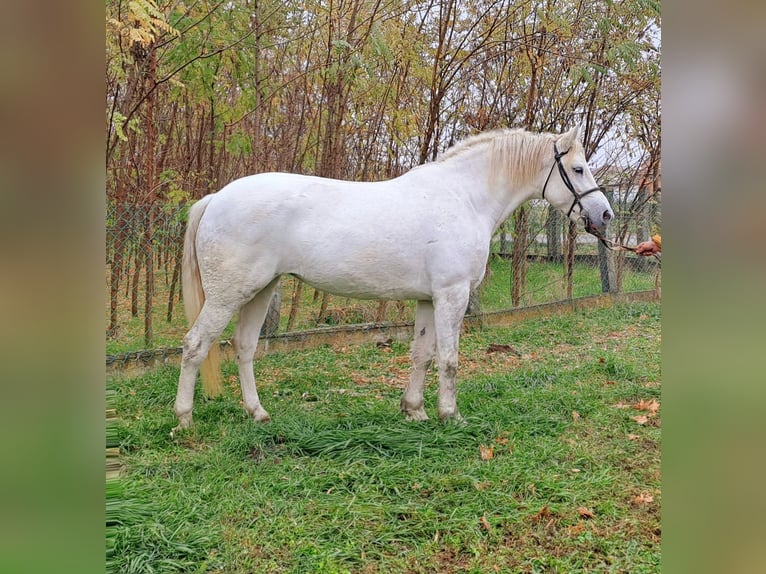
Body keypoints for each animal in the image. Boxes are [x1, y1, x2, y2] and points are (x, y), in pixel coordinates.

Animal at [172, 127, 612, 432]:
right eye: (578, 169)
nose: (605, 214)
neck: (464, 198)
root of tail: (216, 198)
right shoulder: (452, 295)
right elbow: (449, 359)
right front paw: (450, 415)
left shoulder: (428, 299)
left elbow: (422, 355)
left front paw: (414, 410)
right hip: (228, 295)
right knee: (195, 346)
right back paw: (184, 419)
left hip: (261, 290)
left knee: (244, 347)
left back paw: (258, 413)